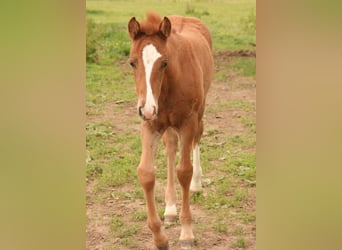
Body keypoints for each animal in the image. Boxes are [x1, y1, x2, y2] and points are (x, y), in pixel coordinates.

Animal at [128, 12, 214, 250]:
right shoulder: (150, 125)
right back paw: (170, 209)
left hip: (199, 113)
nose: (147, 109)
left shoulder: (187, 122)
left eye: (164, 62)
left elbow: (184, 171)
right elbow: (146, 173)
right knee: (170, 148)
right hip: (166, 126)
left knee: (196, 139)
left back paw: (197, 184)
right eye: (132, 62)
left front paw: (186, 233)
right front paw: (159, 237)